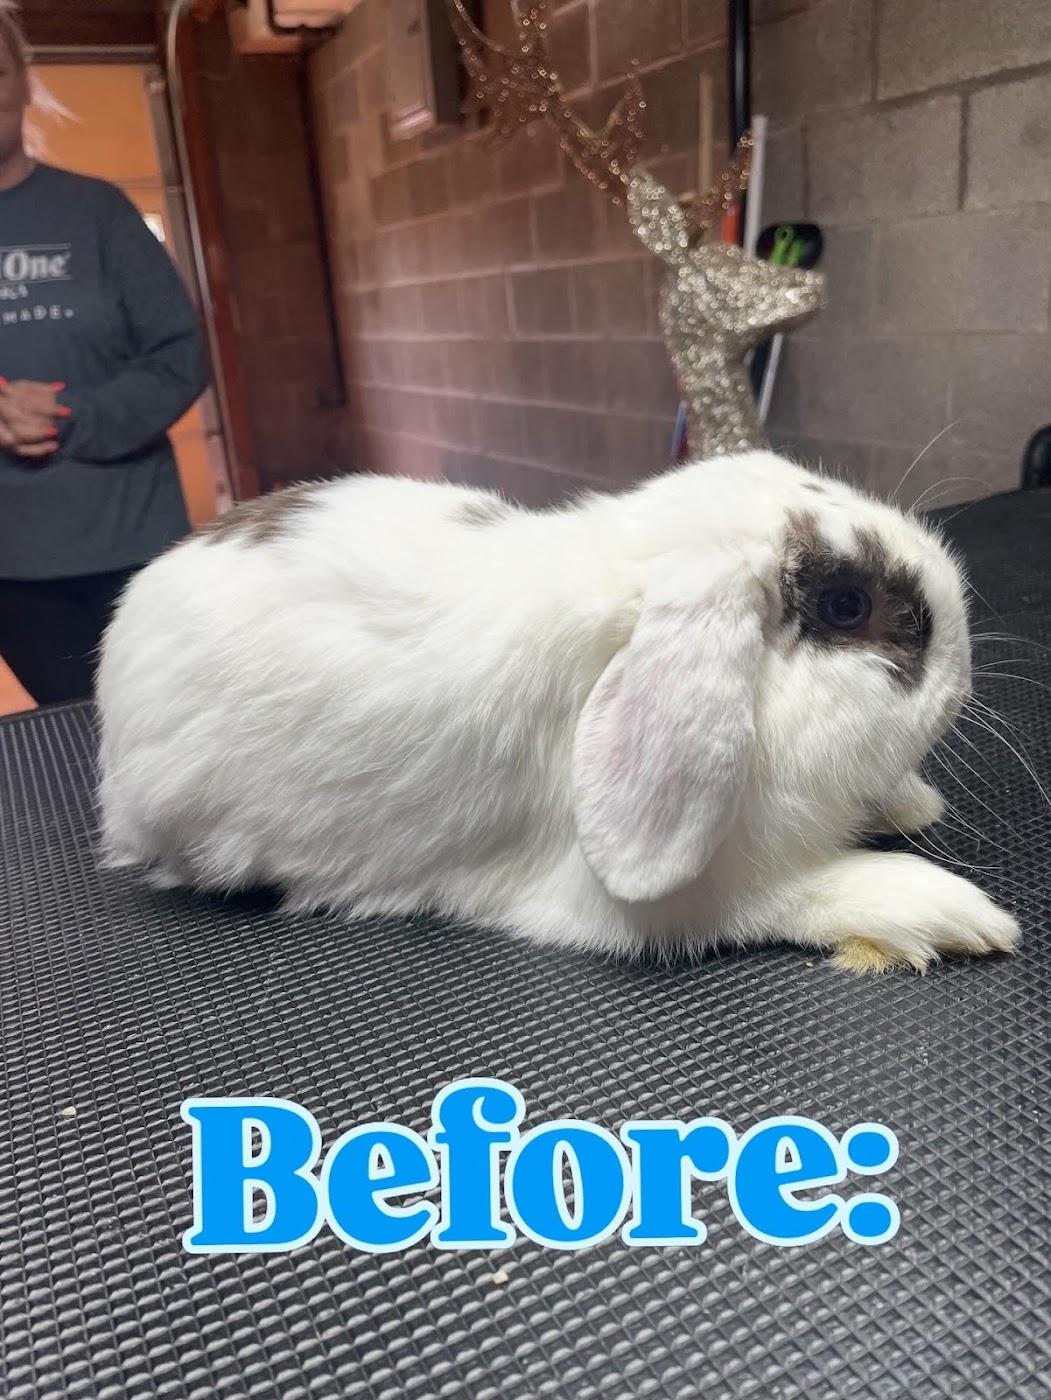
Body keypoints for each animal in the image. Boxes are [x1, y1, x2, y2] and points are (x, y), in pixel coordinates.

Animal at [96, 450, 1019, 975]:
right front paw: (943, 911)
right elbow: (803, 894)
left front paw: (911, 803)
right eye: (843, 605)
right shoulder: (685, 902)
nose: (964, 672)